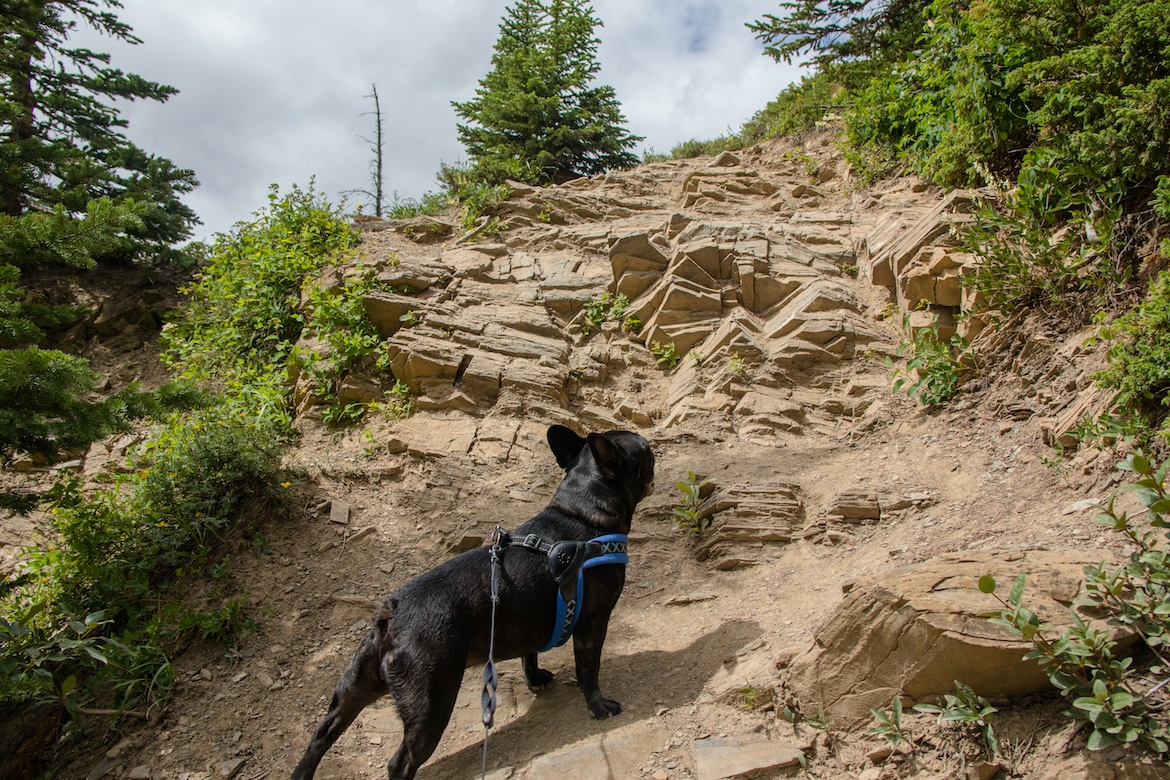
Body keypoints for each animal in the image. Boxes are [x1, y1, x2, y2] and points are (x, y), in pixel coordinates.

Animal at [290, 428, 659, 780]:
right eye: (645, 451)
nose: (651, 443)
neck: (584, 513)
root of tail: (392, 614)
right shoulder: (594, 622)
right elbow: (588, 670)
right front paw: (598, 707)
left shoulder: (530, 618)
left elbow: (530, 654)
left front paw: (535, 678)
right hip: (432, 701)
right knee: (402, 762)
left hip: (356, 688)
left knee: (324, 732)